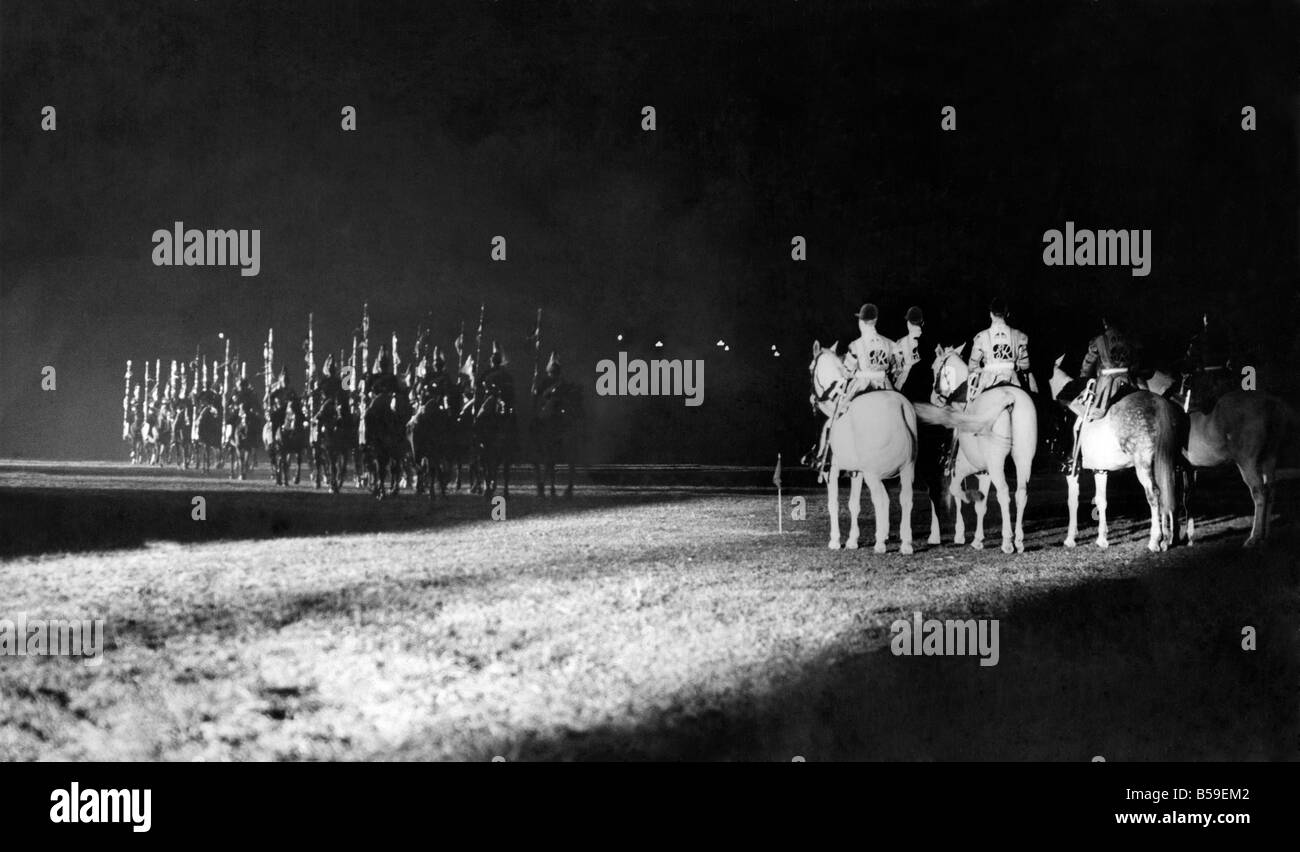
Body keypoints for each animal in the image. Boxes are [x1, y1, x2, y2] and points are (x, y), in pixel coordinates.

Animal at [806, 346, 920, 554]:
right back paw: (906, 544)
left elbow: (833, 503)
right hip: (907, 469)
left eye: (811, 367)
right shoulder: (856, 472)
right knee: (906, 499)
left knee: (880, 500)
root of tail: (897, 406)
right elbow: (854, 504)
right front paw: (852, 540)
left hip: (872, 474)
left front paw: (835, 540)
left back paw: (880, 543)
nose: (813, 400)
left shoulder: (832, 471)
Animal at [915, 346, 1034, 554]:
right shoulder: (983, 473)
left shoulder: (963, 469)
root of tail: (1009, 397)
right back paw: (1019, 541)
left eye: (934, 367)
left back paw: (1007, 541)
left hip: (995, 464)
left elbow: (957, 493)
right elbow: (981, 506)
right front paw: (977, 539)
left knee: (1003, 493)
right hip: (1023, 459)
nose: (933, 397)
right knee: (1021, 493)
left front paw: (960, 533)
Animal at [1045, 353, 1190, 548]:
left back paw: (1155, 540)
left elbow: (1072, 501)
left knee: (1154, 494)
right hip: (1169, 464)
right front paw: (1102, 539)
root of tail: (1159, 404)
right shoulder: (1100, 469)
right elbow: (1101, 500)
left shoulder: (1071, 470)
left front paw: (1070, 538)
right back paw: (1170, 538)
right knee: (1171, 492)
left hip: (1144, 465)